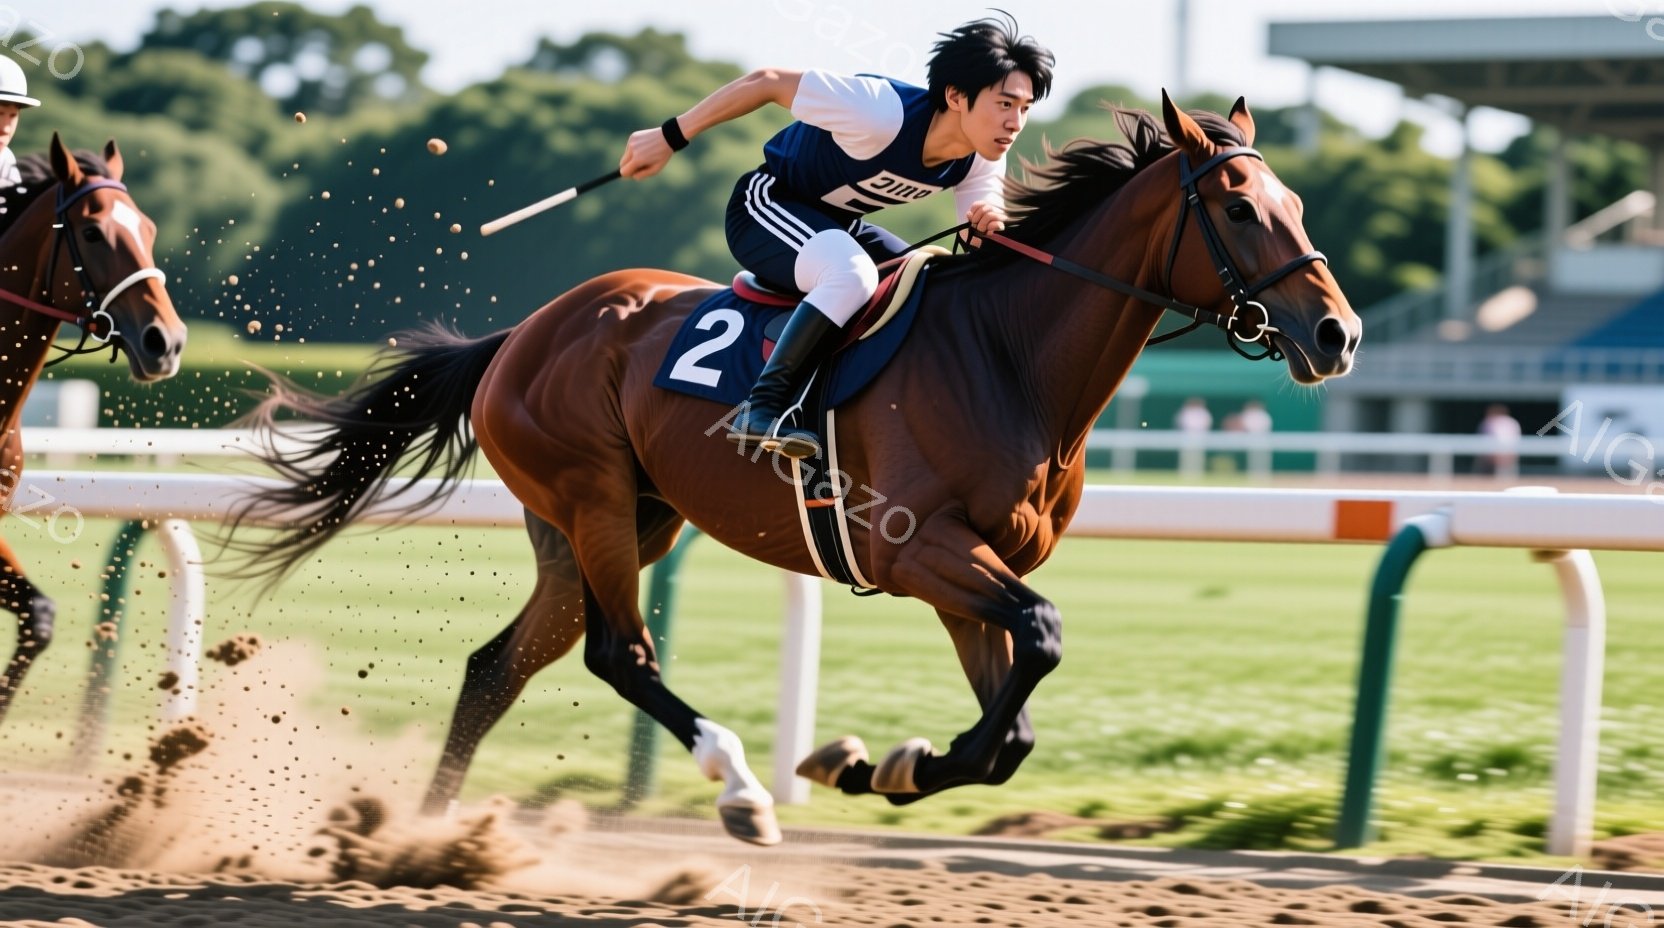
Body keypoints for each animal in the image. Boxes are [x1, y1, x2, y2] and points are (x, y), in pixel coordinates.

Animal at [230, 94, 1359, 845]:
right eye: (1238, 205)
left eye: (1298, 201)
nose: (1336, 334)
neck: (1005, 355)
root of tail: (523, 333)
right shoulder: (919, 551)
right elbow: (1039, 635)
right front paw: (857, 765)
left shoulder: (966, 570)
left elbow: (1010, 729)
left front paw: (878, 765)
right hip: (591, 498)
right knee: (621, 655)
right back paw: (738, 788)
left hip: (615, 519)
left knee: (498, 666)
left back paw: (420, 840)